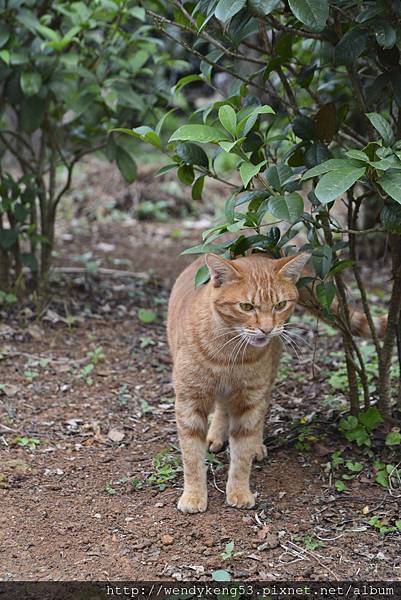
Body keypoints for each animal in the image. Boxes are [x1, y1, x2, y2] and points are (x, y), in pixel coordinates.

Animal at [167, 251, 382, 512]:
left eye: (280, 305)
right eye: (246, 307)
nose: (267, 330)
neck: (229, 354)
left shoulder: (249, 399)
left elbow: (241, 455)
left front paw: (239, 491)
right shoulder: (190, 400)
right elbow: (191, 455)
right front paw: (194, 495)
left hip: (266, 378)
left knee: (255, 410)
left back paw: (254, 445)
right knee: (221, 408)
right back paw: (216, 435)